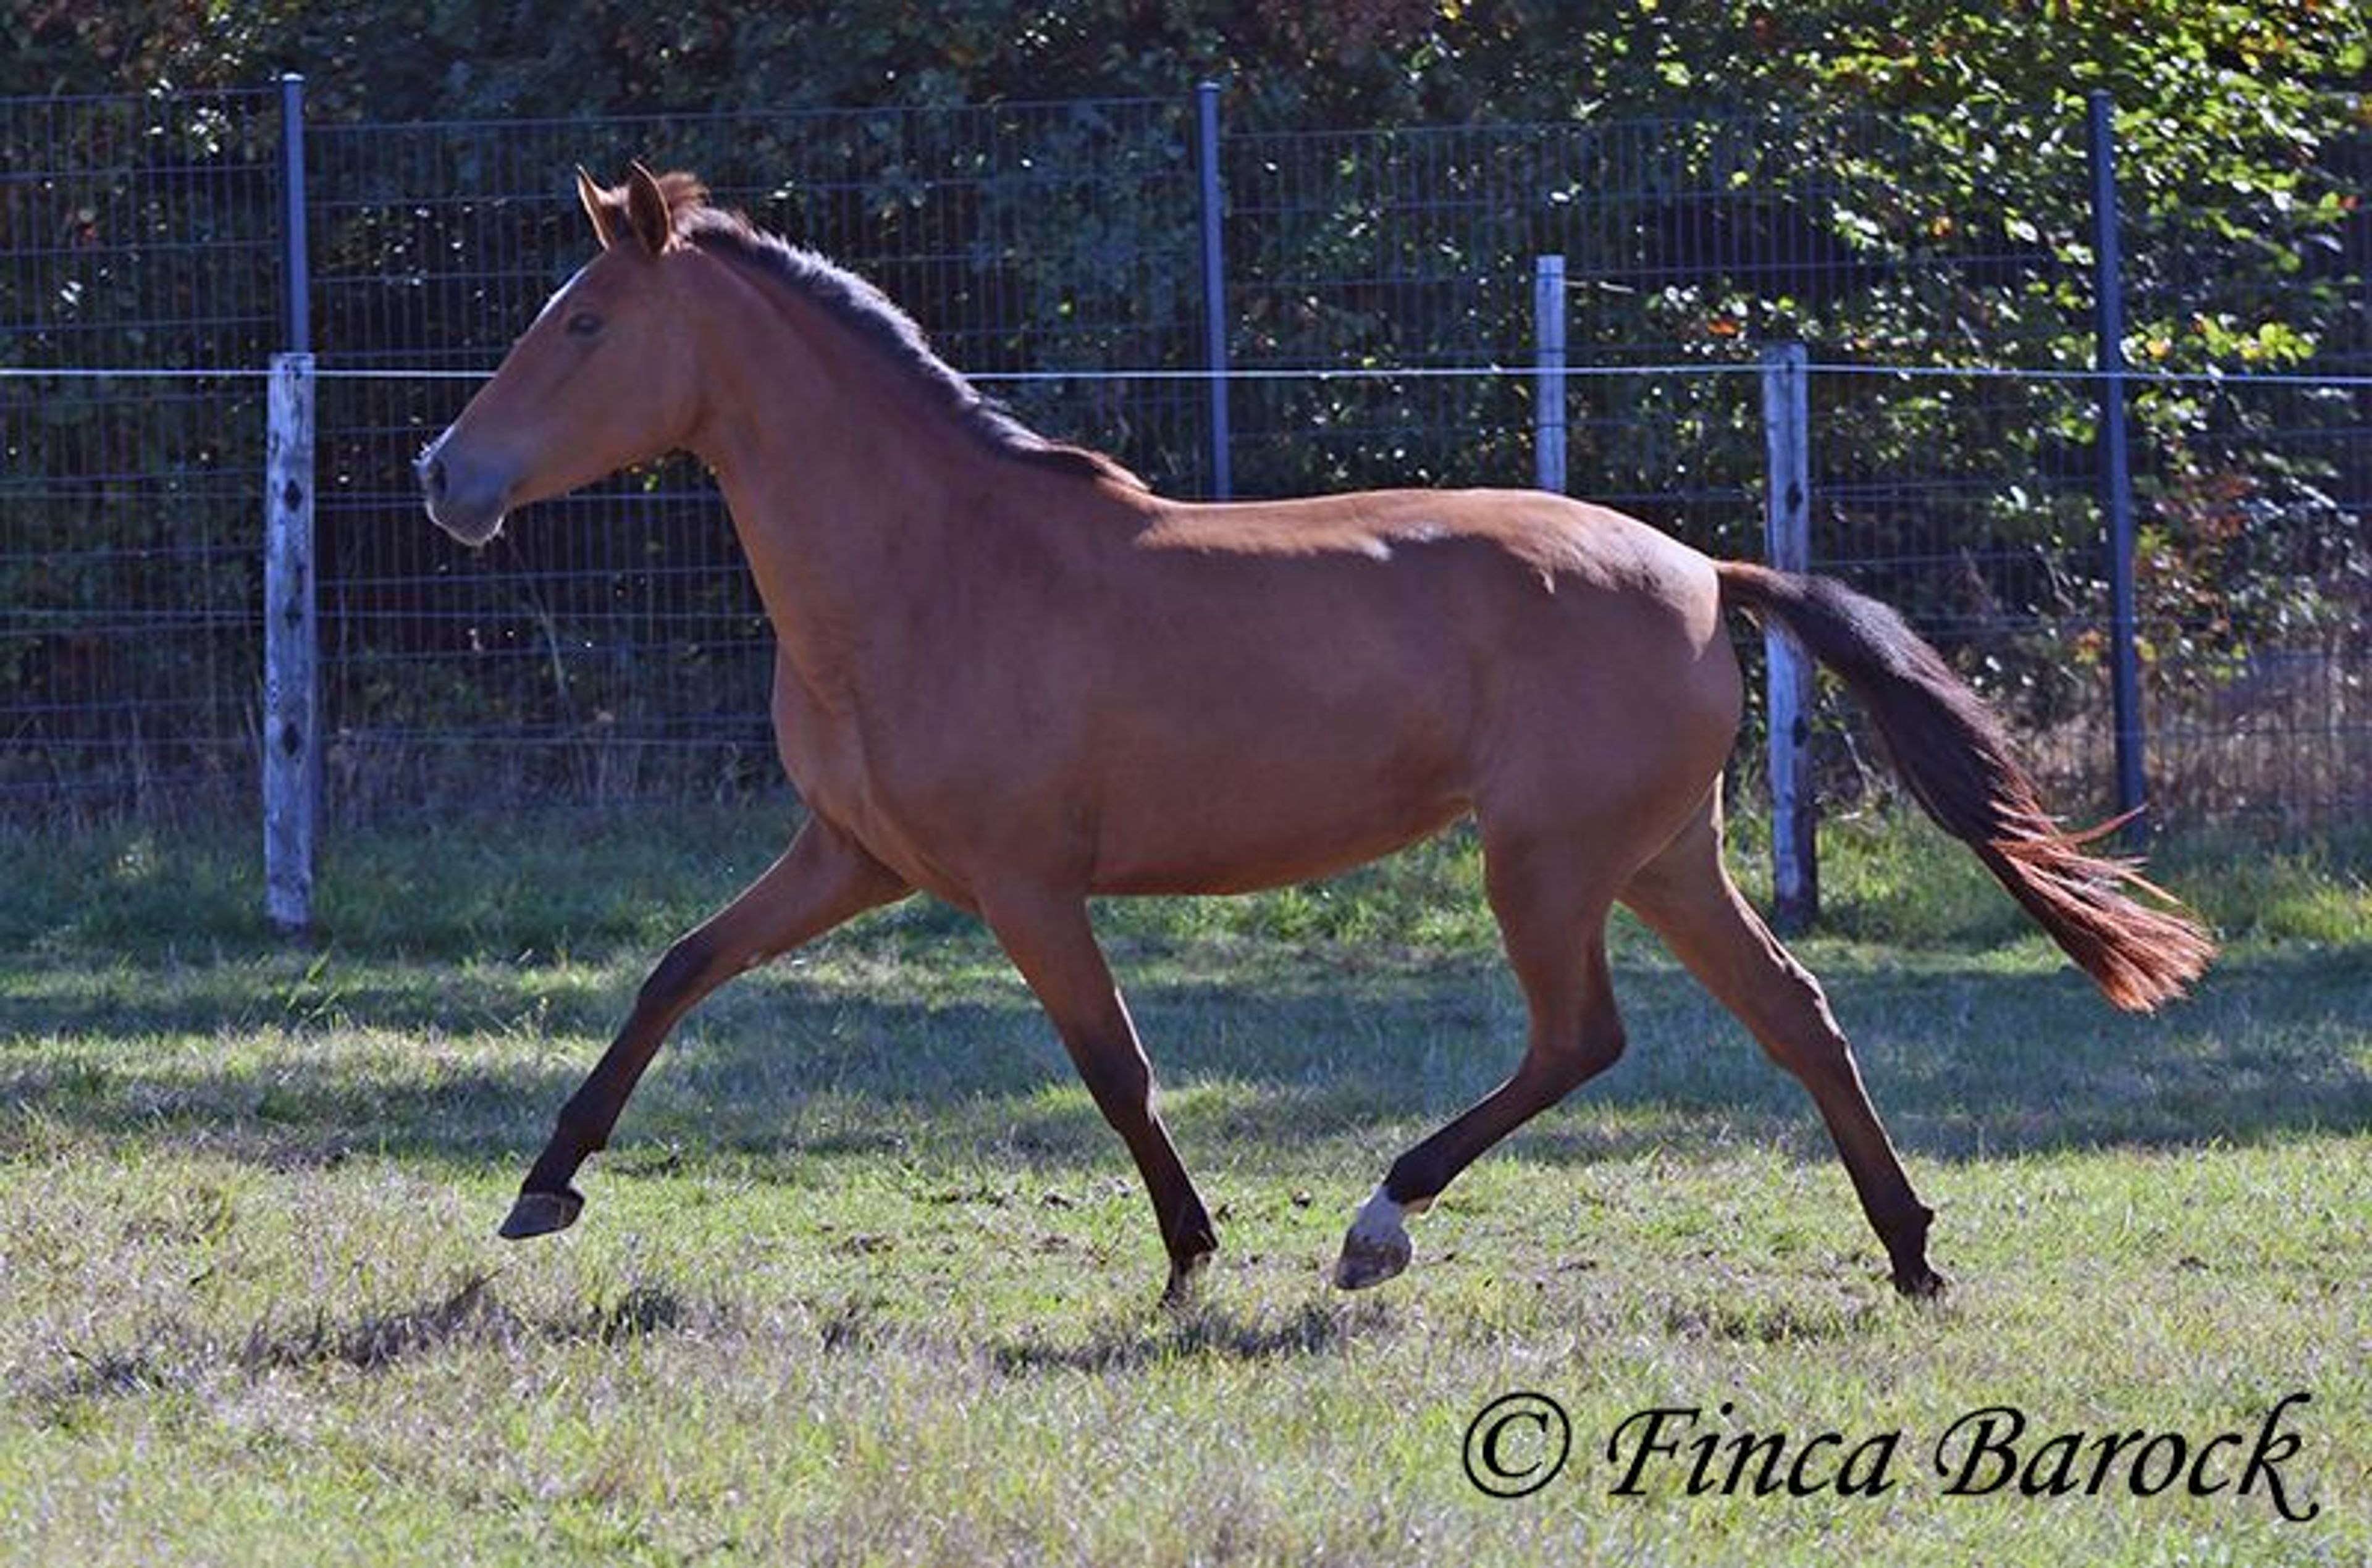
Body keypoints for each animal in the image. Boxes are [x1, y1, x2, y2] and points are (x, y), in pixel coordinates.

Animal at [416, 164, 2213, 1305]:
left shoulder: (1019, 884)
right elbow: (675, 971)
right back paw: (1908, 1251)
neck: (930, 563)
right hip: (1660, 857)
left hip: (1546, 861)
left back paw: (1377, 1223)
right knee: (1798, 1014)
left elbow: (1115, 1064)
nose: (445, 475)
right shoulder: (853, 856)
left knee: (1585, 1038)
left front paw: (1191, 1256)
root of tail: (1706, 570)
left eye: (584, 324)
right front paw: (544, 1183)